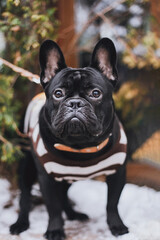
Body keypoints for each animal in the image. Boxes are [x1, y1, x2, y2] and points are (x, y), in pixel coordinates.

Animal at [10, 38, 128, 239]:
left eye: (95, 93)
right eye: (58, 93)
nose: (75, 103)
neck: (81, 145)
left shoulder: (117, 172)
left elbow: (112, 203)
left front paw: (116, 226)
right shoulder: (47, 178)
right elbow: (53, 207)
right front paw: (55, 229)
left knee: (64, 196)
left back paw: (73, 214)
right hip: (27, 167)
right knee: (25, 198)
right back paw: (20, 224)